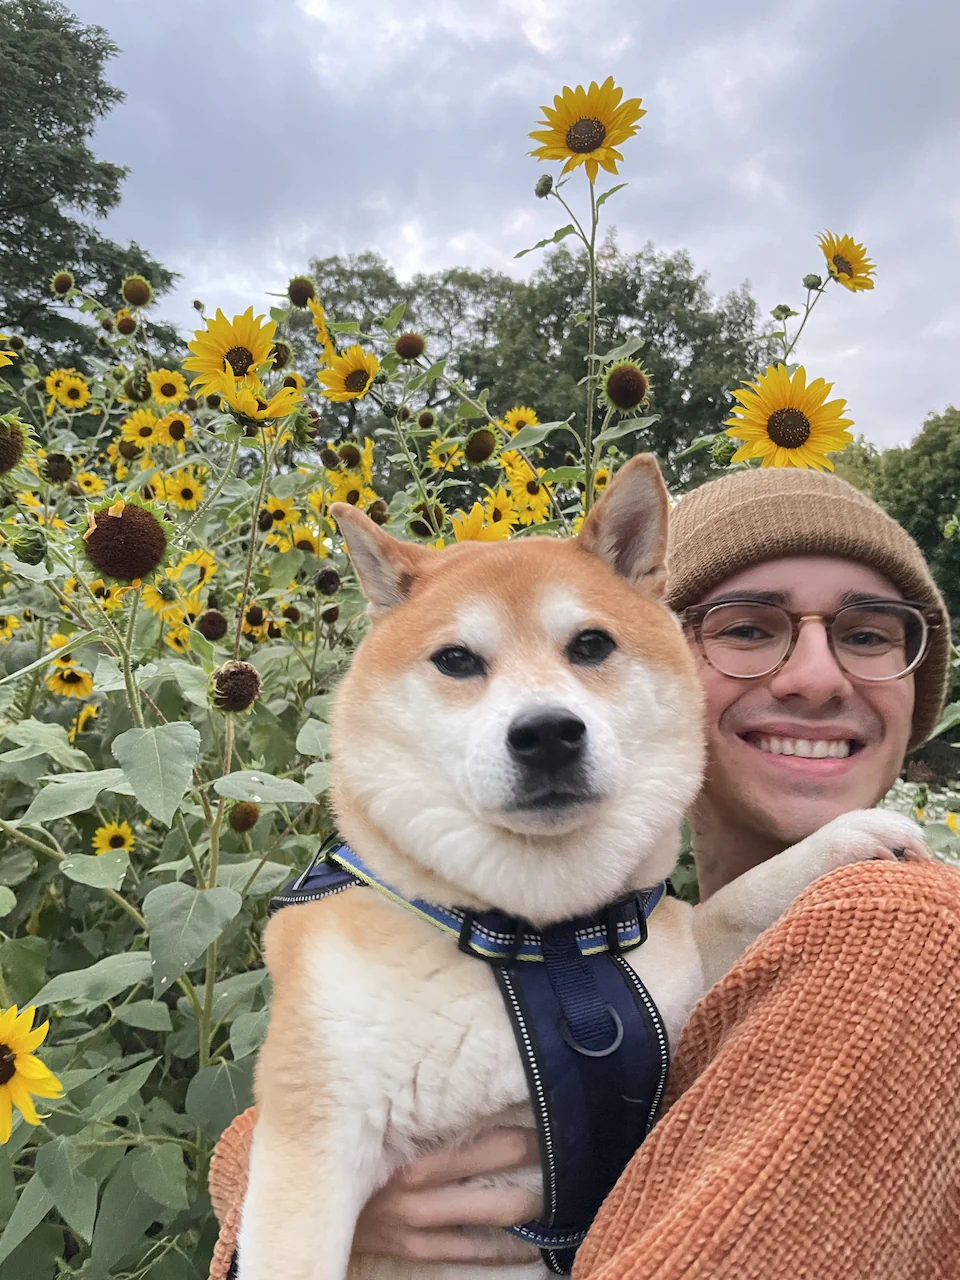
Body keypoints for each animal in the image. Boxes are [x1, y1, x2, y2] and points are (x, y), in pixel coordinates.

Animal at [235, 455, 931, 1280]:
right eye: (457, 660)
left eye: (591, 646)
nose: (545, 733)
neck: (542, 940)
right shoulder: (315, 1145)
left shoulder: (673, 976)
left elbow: (727, 906)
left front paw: (844, 837)